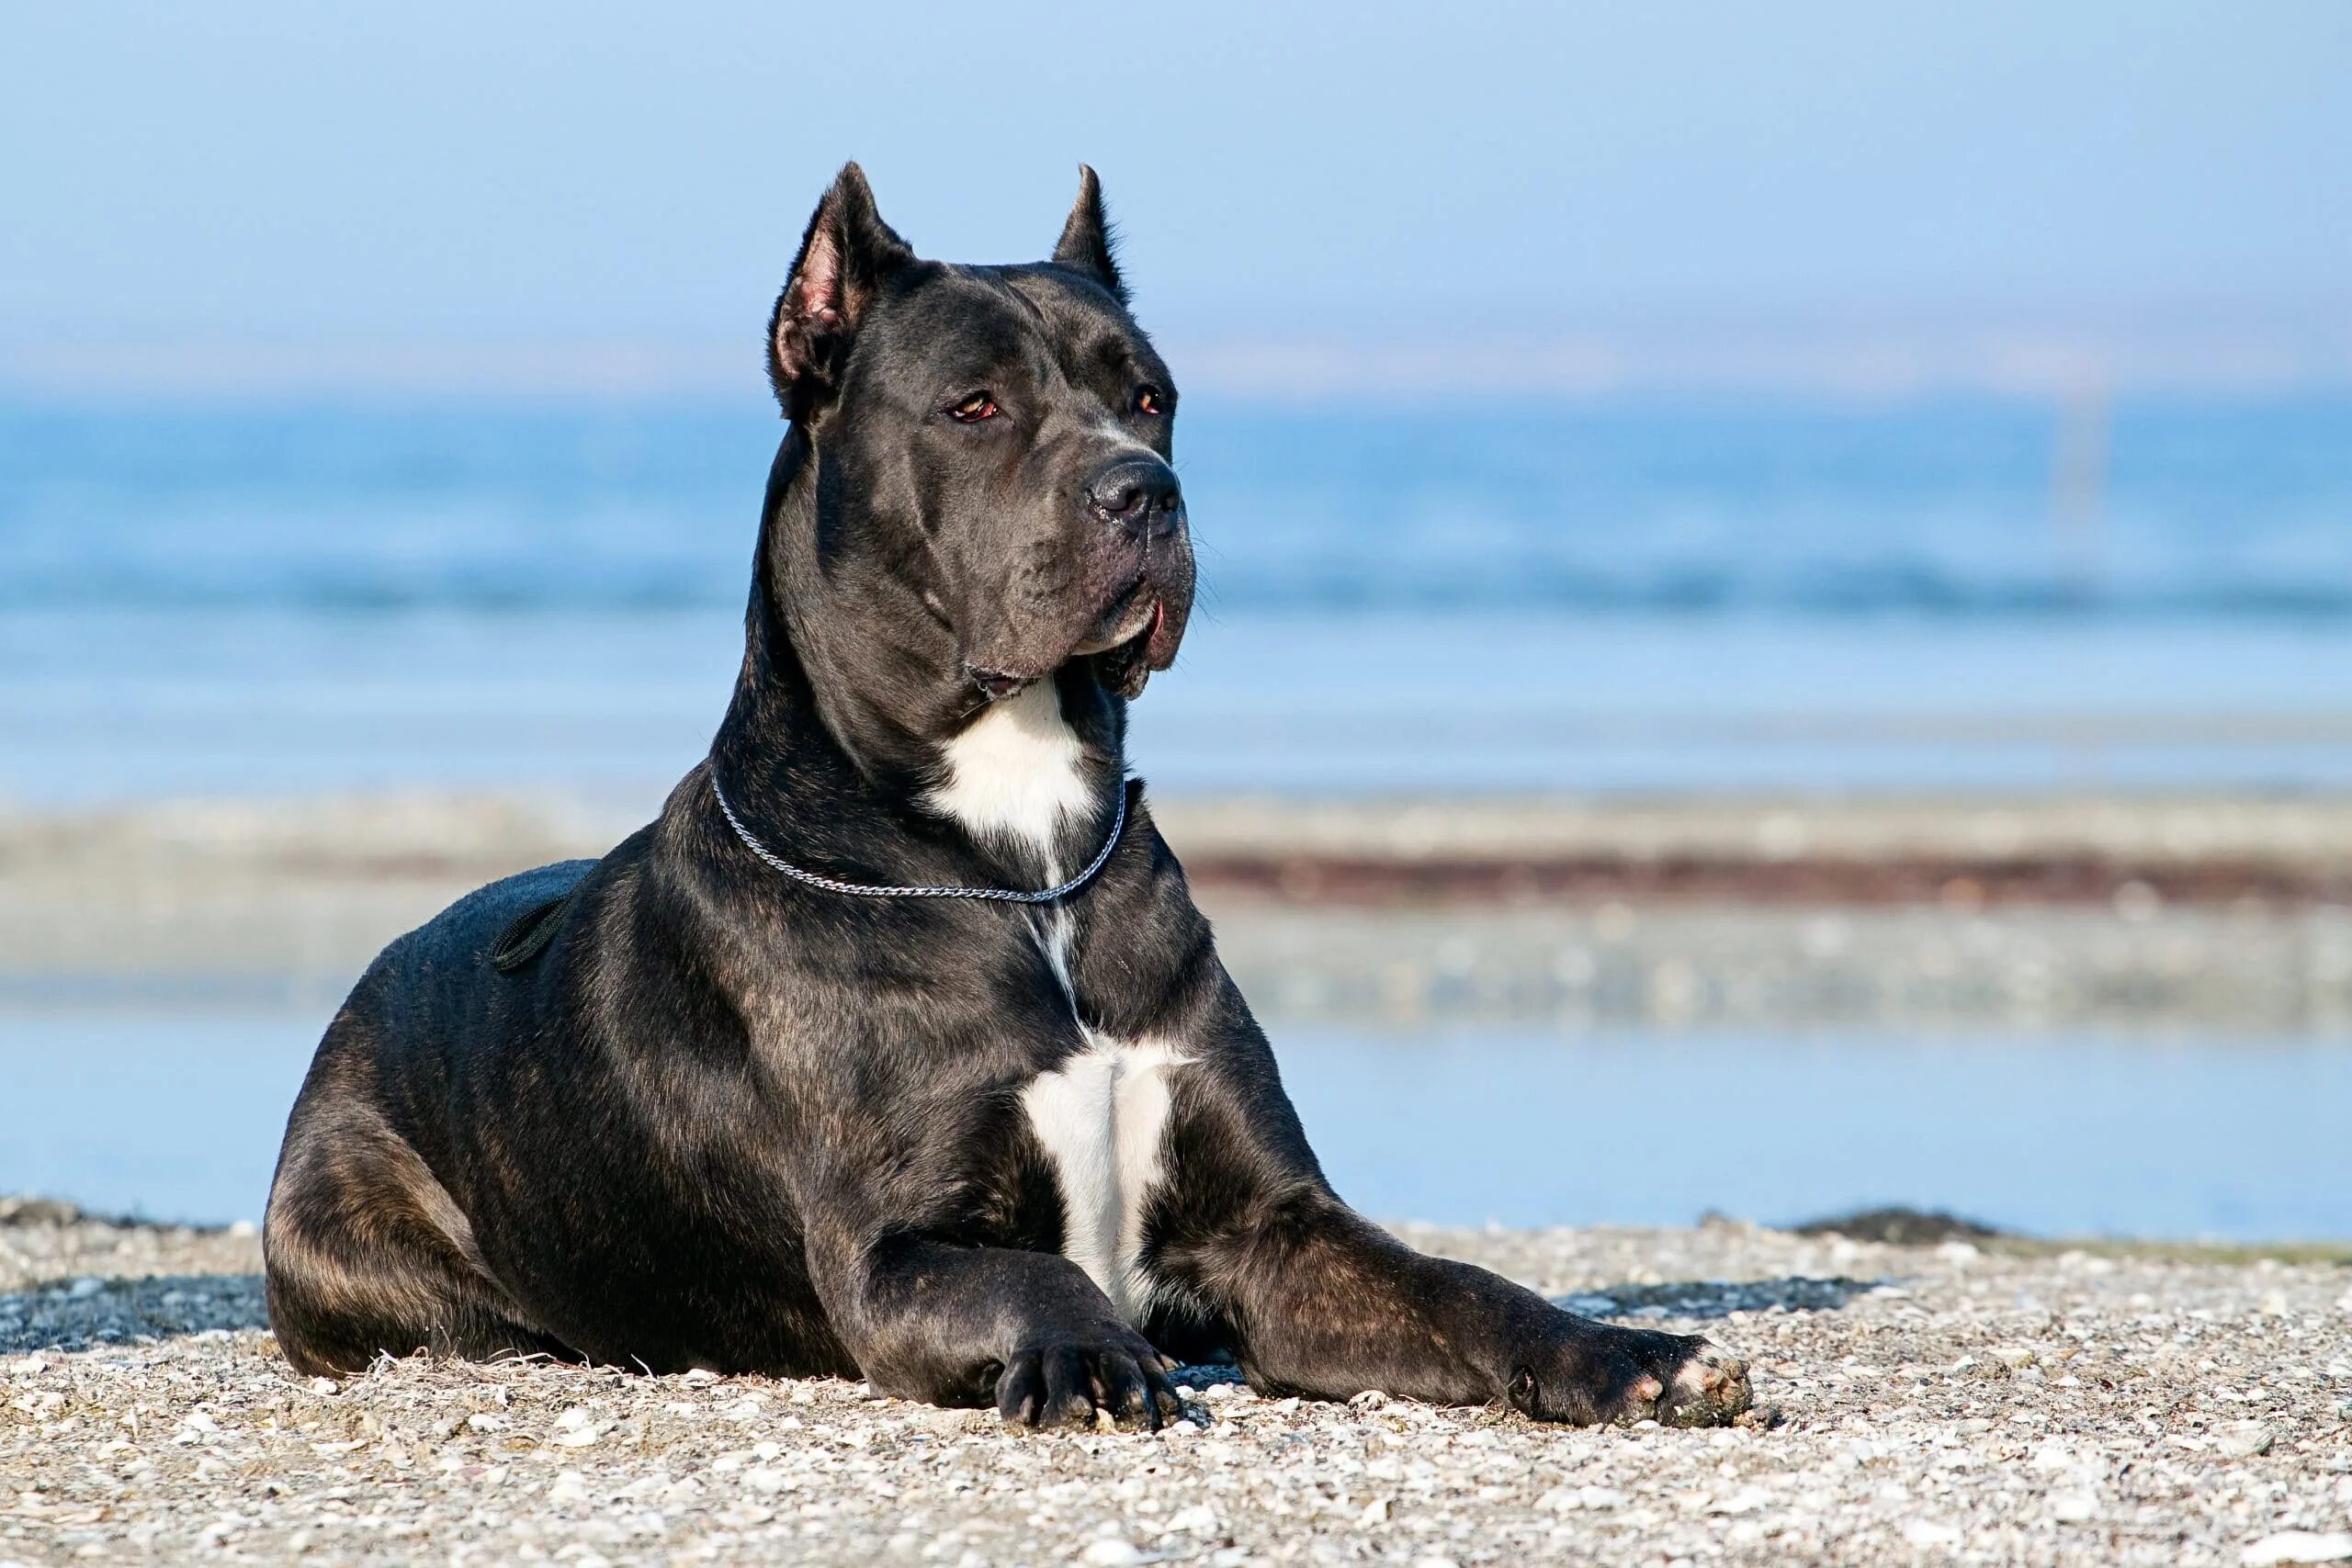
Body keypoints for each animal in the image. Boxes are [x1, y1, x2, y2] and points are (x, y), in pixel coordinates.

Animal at [266, 162, 1758, 1438]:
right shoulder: (897, 1250)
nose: (1145, 492)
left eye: (1149, 398)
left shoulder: (1279, 1228)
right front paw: (1093, 1354)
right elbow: (1039, 1276)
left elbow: (1456, 1284)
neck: (1020, 853)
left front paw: (1631, 1352)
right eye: (973, 407)